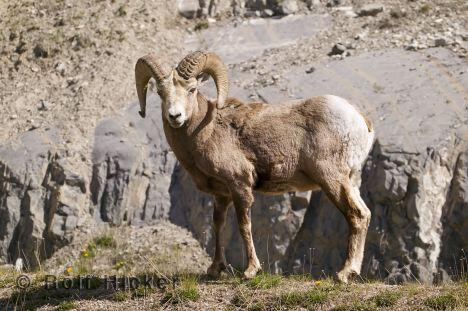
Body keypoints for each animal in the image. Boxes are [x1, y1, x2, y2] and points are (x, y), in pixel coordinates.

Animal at [133, 50, 374, 282]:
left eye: (191, 89)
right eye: (160, 93)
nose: (175, 116)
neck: (207, 132)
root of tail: (360, 120)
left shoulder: (240, 186)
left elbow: (244, 225)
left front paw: (250, 271)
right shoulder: (221, 194)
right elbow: (218, 224)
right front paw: (215, 269)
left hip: (331, 179)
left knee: (356, 215)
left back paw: (344, 274)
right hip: (351, 181)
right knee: (365, 213)